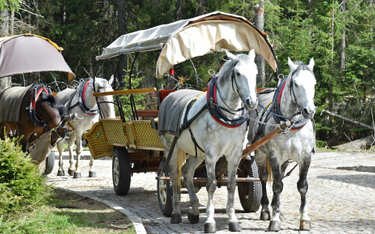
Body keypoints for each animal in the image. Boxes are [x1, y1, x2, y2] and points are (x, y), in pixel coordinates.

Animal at [158, 50, 258, 233]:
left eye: (255, 73)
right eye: (238, 73)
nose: (252, 102)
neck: (227, 114)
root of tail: (171, 94)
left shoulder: (235, 153)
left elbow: (232, 185)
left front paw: (233, 220)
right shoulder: (212, 153)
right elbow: (211, 185)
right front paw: (210, 221)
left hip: (198, 153)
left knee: (187, 172)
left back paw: (194, 211)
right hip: (171, 147)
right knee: (175, 175)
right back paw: (176, 214)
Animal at [250, 57, 318, 231]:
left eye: (314, 83)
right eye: (296, 83)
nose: (309, 111)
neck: (290, 124)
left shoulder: (305, 157)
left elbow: (302, 186)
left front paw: (304, 219)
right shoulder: (274, 156)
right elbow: (276, 186)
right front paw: (274, 220)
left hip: (285, 160)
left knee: (278, 176)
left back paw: (278, 210)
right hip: (260, 153)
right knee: (264, 177)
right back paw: (267, 210)